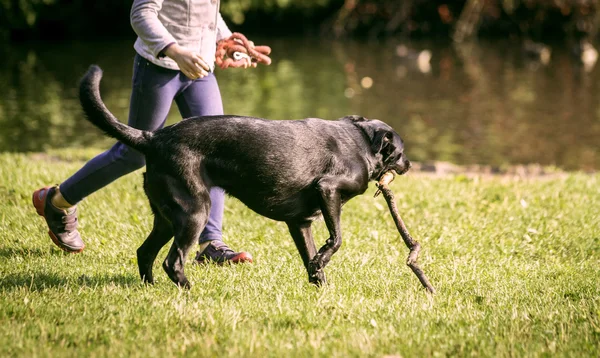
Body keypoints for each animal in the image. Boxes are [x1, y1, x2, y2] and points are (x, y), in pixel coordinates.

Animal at [78, 65, 408, 288]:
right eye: (402, 152)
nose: (410, 164)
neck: (362, 142)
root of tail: (153, 138)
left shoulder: (300, 223)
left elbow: (311, 258)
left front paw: (321, 285)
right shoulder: (328, 190)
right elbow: (336, 238)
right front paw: (323, 264)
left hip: (167, 217)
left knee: (144, 252)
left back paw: (150, 287)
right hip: (194, 211)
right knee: (172, 261)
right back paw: (188, 290)